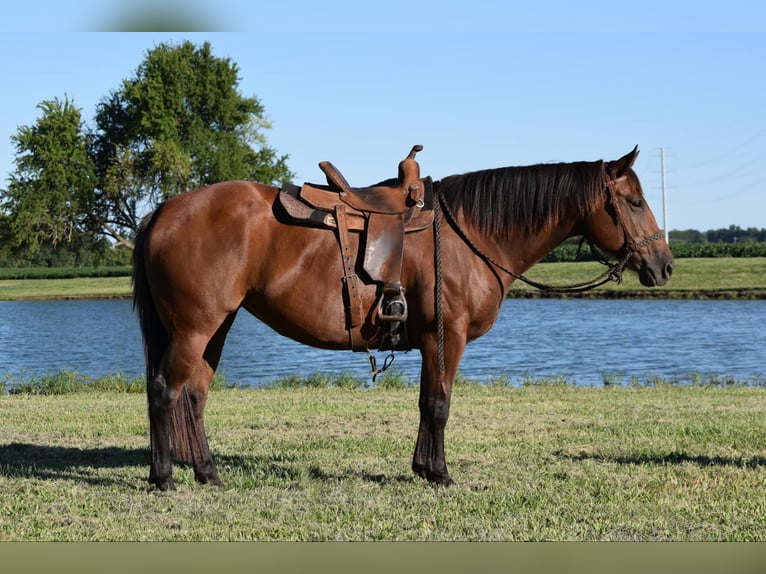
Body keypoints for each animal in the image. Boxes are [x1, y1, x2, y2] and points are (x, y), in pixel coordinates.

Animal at [135, 146, 676, 492]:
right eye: (634, 201)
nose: (665, 265)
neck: (471, 232)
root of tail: (163, 210)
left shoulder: (430, 341)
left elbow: (424, 404)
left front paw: (423, 468)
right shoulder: (446, 337)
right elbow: (438, 405)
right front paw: (440, 474)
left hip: (214, 328)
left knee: (193, 397)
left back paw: (208, 473)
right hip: (195, 328)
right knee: (164, 392)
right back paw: (164, 479)